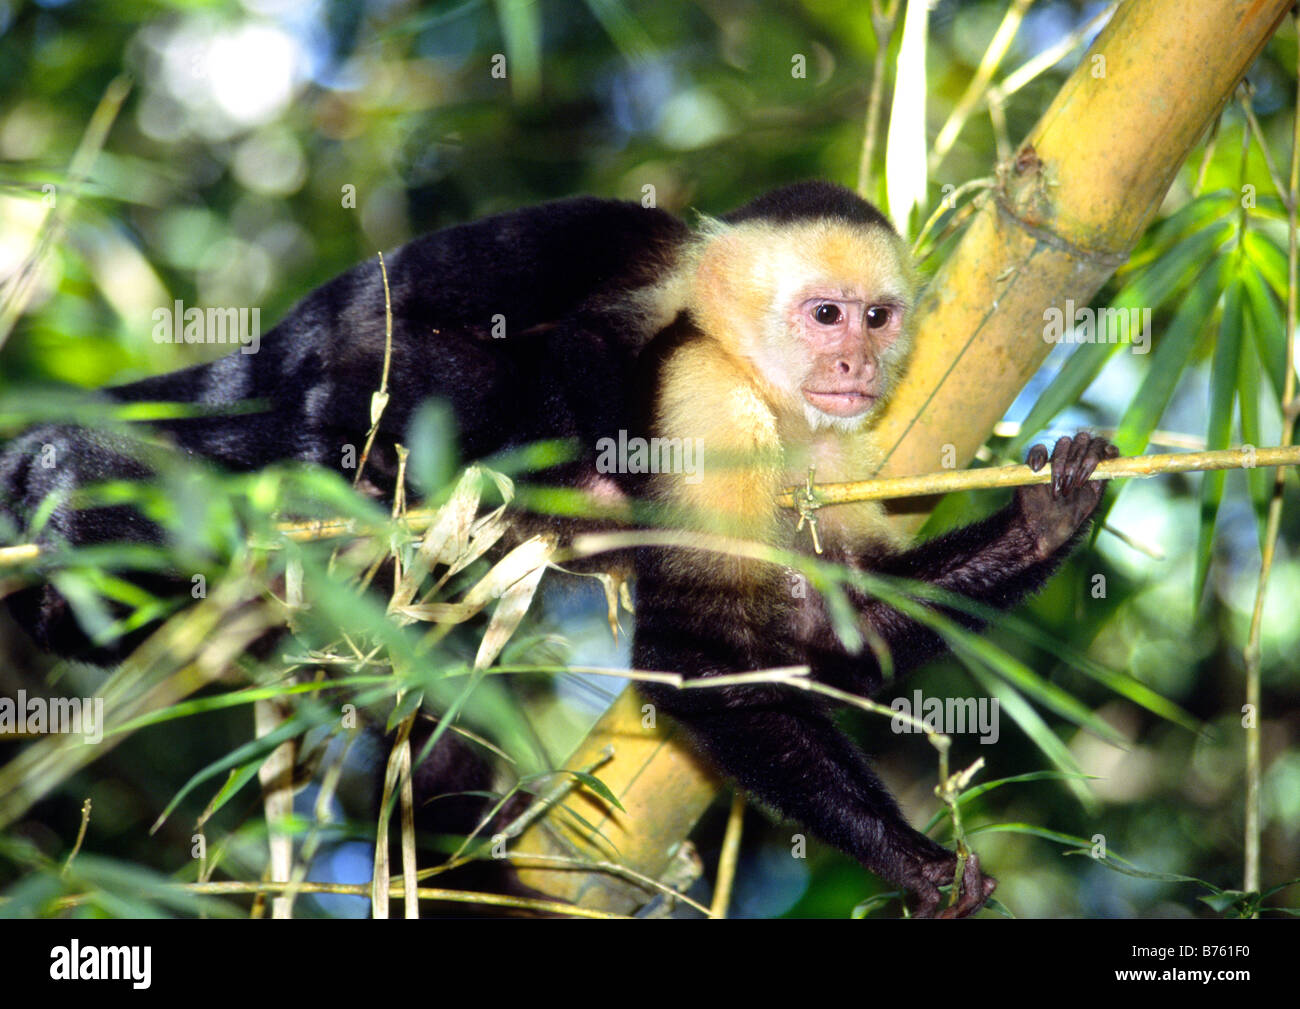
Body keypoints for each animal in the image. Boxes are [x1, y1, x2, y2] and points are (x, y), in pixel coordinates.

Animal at [2, 179, 1118, 915]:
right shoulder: (703, 395)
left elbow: (830, 630)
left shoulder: (850, 448)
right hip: (357, 387)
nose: (854, 362)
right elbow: (697, 653)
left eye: (878, 317)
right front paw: (910, 859)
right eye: (825, 314)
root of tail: (277, 346)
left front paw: (1043, 520)